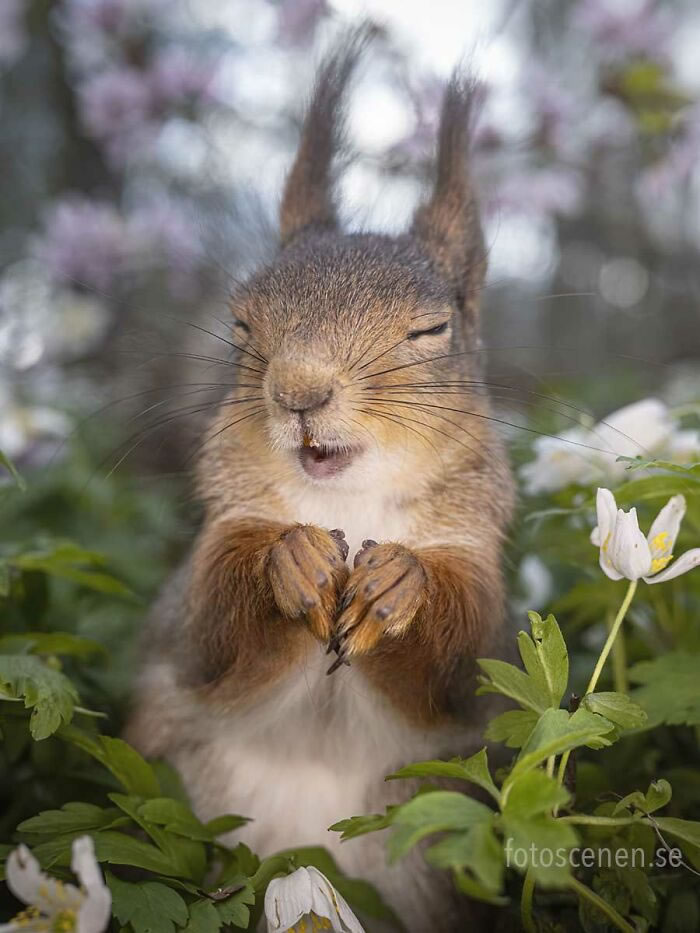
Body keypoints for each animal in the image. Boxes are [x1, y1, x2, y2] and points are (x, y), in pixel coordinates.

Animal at [126, 31, 516, 932]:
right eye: (240, 321)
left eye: (432, 329)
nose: (299, 391)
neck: (346, 499)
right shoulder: (195, 583)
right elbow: (212, 626)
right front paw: (292, 559)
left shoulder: (478, 572)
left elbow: (459, 656)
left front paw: (397, 583)